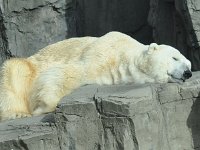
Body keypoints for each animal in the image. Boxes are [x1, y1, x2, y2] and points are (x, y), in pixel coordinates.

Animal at [0, 31, 192, 120]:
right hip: (27, 66)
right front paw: (42, 107)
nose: (188, 73)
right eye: (175, 57)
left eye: (189, 64)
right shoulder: (99, 54)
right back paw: (17, 113)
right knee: (12, 72)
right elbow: (67, 73)